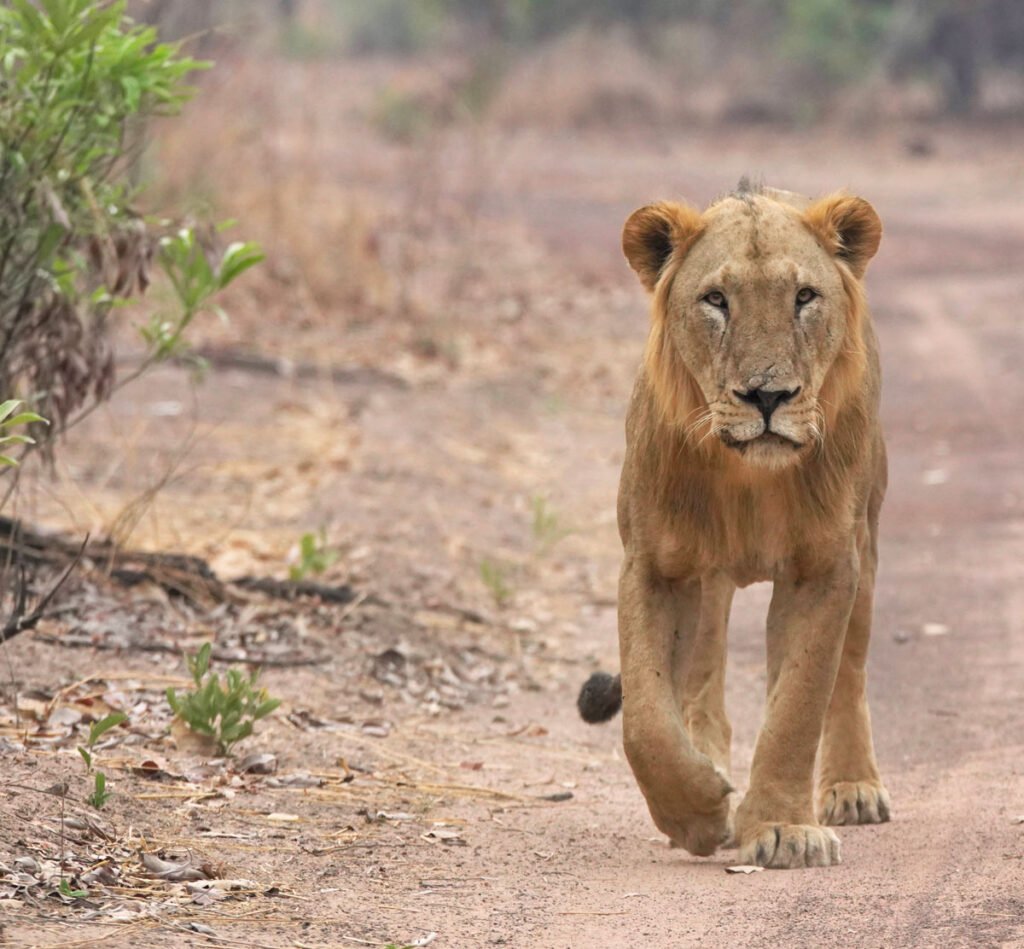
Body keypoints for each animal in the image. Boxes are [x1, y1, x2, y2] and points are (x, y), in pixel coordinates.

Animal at [581, 182, 892, 872]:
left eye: (804, 296)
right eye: (716, 300)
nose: (767, 396)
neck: (746, 477)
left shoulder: (827, 567)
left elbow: (799, 704)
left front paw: (782, 828)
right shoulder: (653, 566)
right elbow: (645, 716)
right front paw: (696, 812)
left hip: (867, 544)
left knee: (850, 674)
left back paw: (852, 787)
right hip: (708, 579)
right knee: (700, 681)